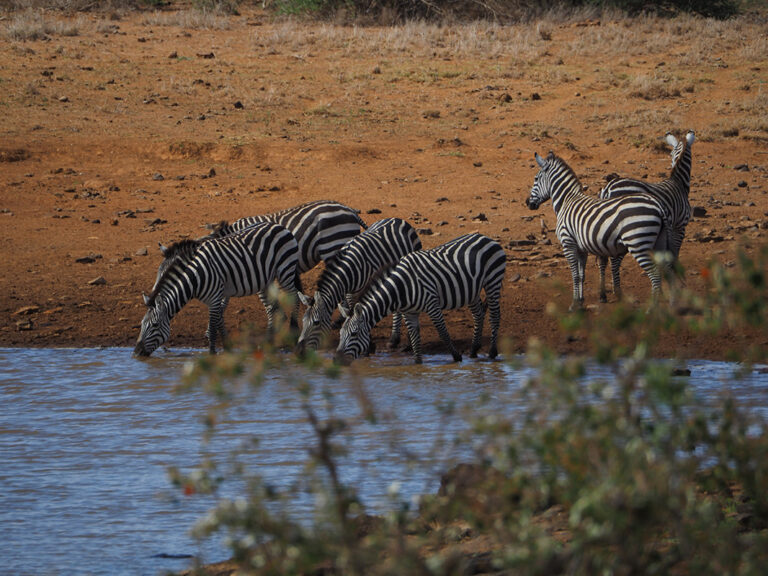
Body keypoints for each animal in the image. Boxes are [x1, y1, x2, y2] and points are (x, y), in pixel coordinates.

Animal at [134, 222, 300, 357]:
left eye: (155, 325)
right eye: (141, 324)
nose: (136, 352)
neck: (195, 277)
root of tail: (279, 226)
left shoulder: (215, 297)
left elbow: (214, 327)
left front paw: (212, 353)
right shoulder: (216, 297)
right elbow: (219, 319)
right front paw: (227, 347)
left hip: (285, 270)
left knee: (295, 298)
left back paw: (294, 332)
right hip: (265, 281)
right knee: (274, 310)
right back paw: (266, 343)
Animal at [295, 217, 422, 354]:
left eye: (316, 323)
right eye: (303, 321)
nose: (299, 351)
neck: (348, 269)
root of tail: (397, 219)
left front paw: (368, 344)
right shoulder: (350, 291)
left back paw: (395, 338)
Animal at [334, 233, 506, 365]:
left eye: (354, 334)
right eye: (340, 334)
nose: (337, 361)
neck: (402, 287)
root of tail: (486, 238)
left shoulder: (432, 304)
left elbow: (443, 332)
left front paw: (457, 357)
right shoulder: (409, 313)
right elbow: (415, 338)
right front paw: (417, 364)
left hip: (493, 281)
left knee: (495, 316)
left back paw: (492, 352)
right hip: (472, 290)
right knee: (478, 314)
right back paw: (473, 350)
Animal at [525, 151, 672, 311]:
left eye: (535, 179)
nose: (527, 203)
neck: (567, 201)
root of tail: (658, 205)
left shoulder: (568, 242)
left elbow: (575, 275)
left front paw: (574, 304)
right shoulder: (581, 247)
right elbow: (582, 275)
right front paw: (581, 301)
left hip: (638, 243)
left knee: (655, 274)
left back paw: (652, 309)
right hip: (659, 242)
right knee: (666, 270)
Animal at [595, 130, 695, 302]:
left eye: (671, 153)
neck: (678, 183)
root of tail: (608, 188)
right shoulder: (680, 226)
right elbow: (674, 253)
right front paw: (678, 280)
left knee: (603, 258)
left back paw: (603, 294)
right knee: (614, 259)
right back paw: (617, 291)